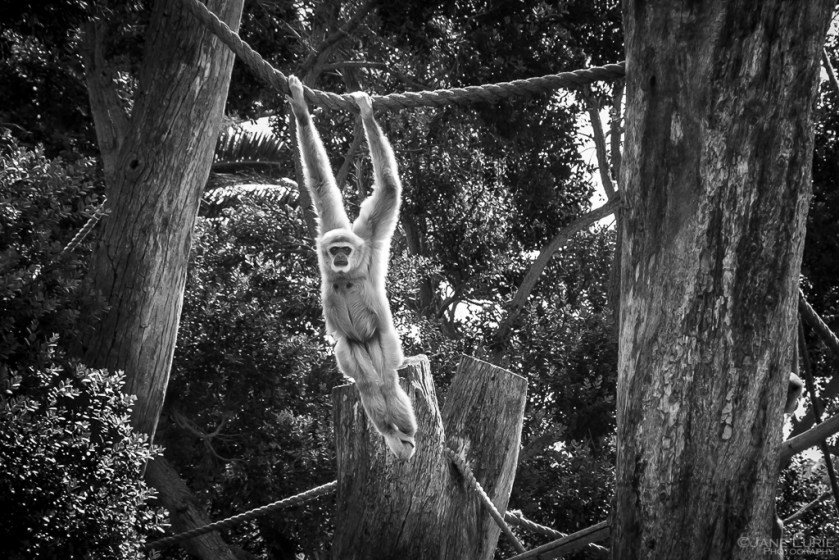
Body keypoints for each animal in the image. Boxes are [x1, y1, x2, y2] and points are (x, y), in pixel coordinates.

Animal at [287, 75, 417, 460]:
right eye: (335, 250)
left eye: (346, 249)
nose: (341, 257)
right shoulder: (330, 228)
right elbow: (320, 183)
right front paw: (300, 109)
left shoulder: (368, 237)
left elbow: (388, 188)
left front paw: (367, 113)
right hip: (351, 346)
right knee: (368, 383)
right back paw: (391, 433)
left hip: (383, 339)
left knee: (387, 381)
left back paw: (405, 430)